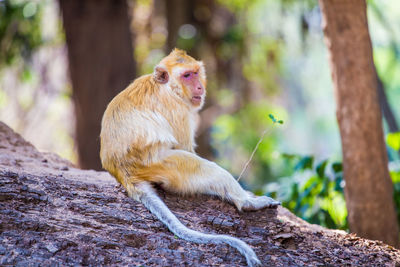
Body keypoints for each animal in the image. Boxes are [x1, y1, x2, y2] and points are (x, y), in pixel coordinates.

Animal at [100, 49, 282, 266]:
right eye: (186, 75)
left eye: (195, 73)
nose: (199, 86)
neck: (168, 87)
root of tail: (124, 172)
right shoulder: (177, 109)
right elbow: (185, 147)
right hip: (163, 164)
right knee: (207, 169)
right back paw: (247, 203)